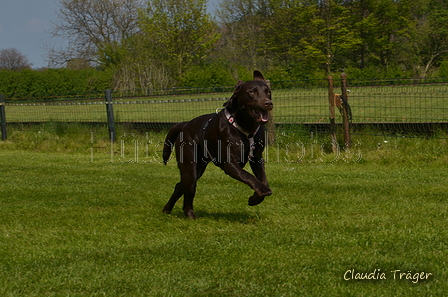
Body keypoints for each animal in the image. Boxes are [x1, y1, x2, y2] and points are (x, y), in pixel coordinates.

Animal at [161, 69, 272, 217]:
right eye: (252, 92)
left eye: (268, 92)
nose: (268, 103)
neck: (245, 127)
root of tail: (185, 125)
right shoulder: (230, 164)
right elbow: (248, 176)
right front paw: (261, 191)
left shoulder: (257, 158)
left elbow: (263, 179)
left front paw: (255, 198)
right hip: (190, 166)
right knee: (188, 188)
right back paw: (189, 214)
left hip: (199, 168)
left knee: (180, 186)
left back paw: (167, 209)